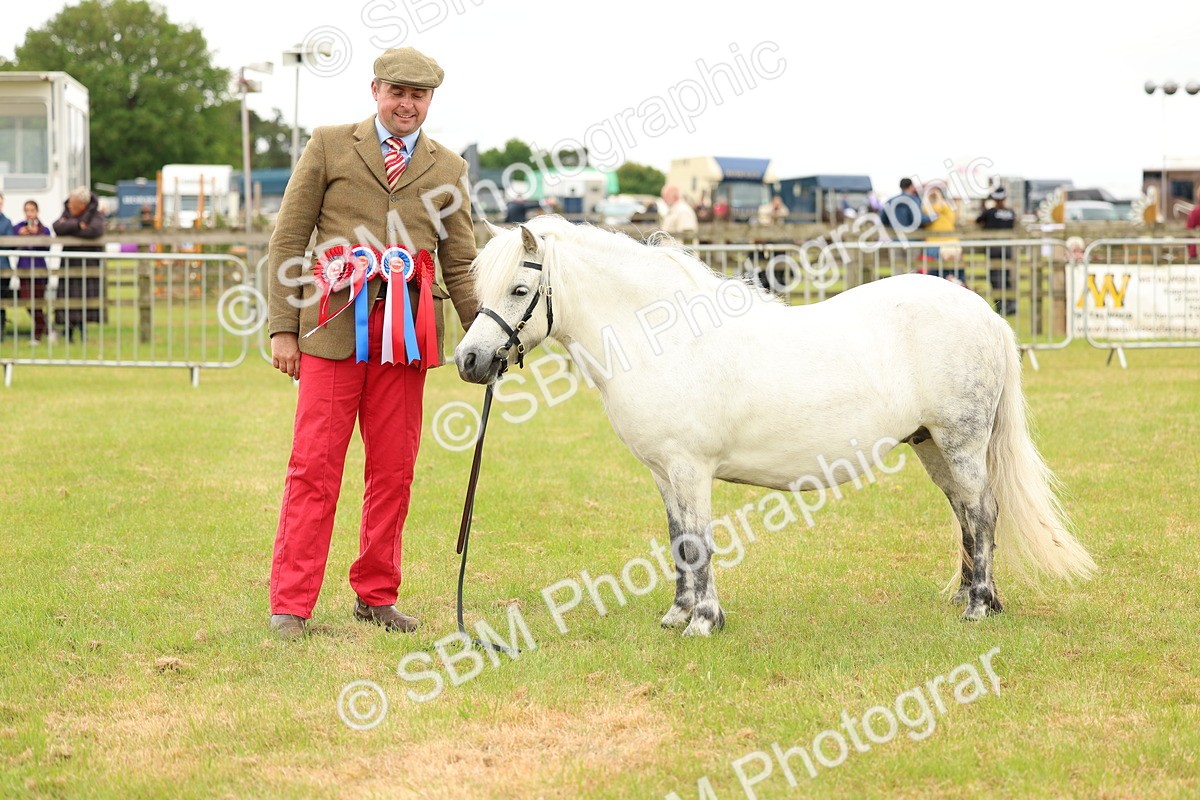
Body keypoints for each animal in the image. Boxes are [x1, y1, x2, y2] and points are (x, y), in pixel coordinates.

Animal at [455, 216, 1096, 637]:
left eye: (519, 289)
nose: (470, 361)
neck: (664, 340)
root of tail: (984, 312)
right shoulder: (665, 473)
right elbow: (678, 540)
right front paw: (676, 614)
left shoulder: (691, 469)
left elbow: (700, 541)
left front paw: (704, 622)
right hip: (931, 446)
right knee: (964, 513)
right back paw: (968, 596)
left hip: (960, 442)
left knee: (983, 512)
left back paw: (980, 607)